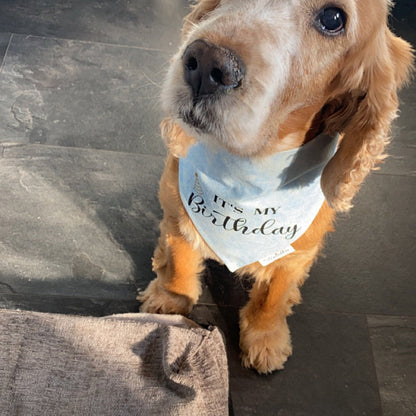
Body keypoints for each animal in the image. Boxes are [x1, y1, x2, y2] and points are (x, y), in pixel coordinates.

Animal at [139, 0, 412, 374]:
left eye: (333, 18)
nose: (206, 63)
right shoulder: (179, 214)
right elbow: (180, 262)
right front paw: (169, 301)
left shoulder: (297, 251)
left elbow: (274, 295)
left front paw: (265, 339)